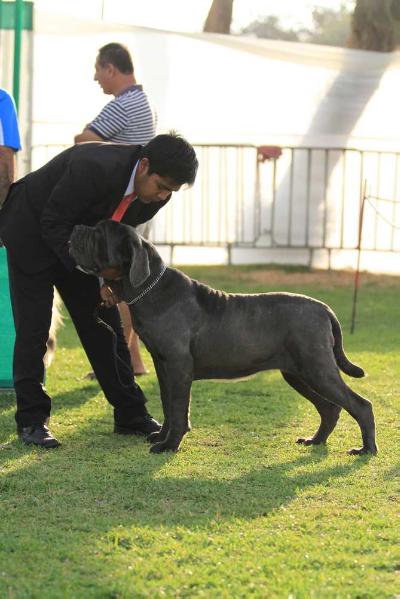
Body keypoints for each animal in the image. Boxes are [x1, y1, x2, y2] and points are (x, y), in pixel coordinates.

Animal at [69, 220, 378, 454]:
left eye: (99, 233)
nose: (76, 228)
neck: (148, 289)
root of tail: (325, 309)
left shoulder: (178, 366)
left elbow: (178, 408)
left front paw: (169, 445)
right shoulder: (163, 366)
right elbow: (168, 405)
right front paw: (162, 437)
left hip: (317, 368)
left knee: (360, 405)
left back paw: (366, 450)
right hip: (298, 373)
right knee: (330, 408)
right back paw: (315, 441)